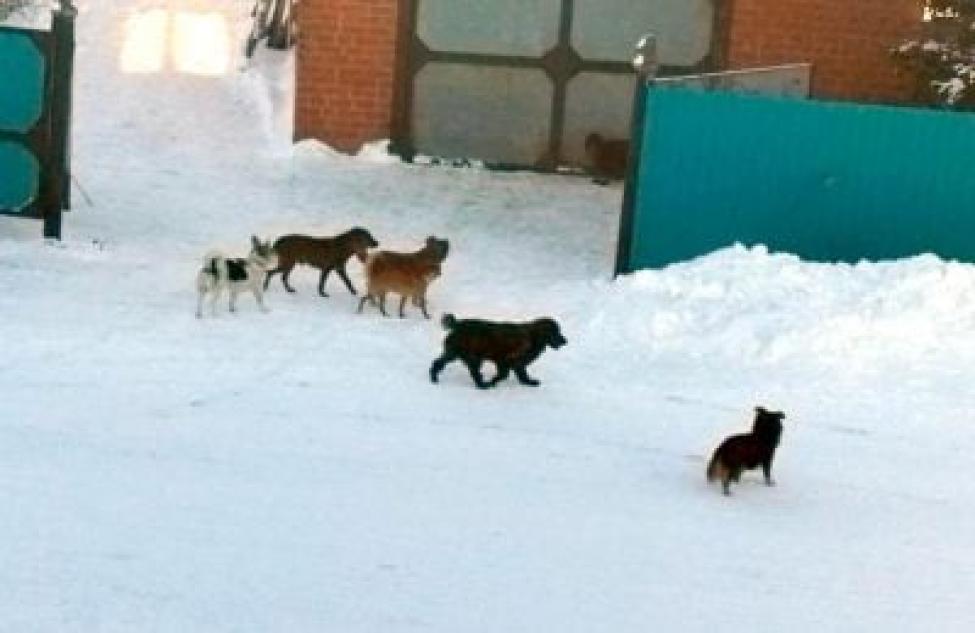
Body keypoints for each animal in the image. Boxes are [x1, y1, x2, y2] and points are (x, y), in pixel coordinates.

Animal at [430, 314, 568, 388]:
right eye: (556, 332)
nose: (565, 341)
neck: (532, 336)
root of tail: (458, 324)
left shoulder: (515, 363)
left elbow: (521, 374)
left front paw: (528, 382)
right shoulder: (505, 360)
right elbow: (504, 375)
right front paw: (493, 381)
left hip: (452, 353)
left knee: (437, 363)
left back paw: (434, 378)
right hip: (473, 356)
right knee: (474, 372)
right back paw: (482, 385)